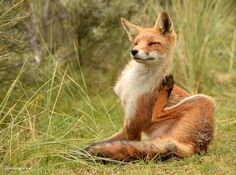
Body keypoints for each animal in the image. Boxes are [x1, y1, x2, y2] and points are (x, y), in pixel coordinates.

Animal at [81, 10, 216, 161]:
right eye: (136, 43)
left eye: (152, 43)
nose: (133, 51)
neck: (135, 80)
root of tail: (197, 147)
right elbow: (101, 141)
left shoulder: (132, 127)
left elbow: (108, 141)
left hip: (205, 99)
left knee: (155, 115)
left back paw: (167, 88)